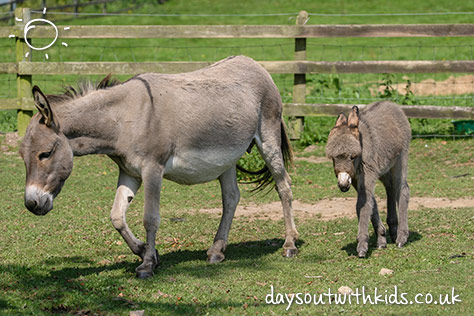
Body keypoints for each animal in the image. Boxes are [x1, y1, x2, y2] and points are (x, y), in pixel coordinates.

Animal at [326, 100, 412, 256]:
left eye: (352, 157)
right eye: (333, 158)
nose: (343, 185)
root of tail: (391, 103)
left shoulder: (366, 175)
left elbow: (363, 205)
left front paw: (362, 245)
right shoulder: (356, 179)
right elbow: (372, 204)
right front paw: (381, 238)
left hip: (400, 161)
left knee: (402, 189)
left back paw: (402, 237)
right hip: (385, 169)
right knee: (390, 189)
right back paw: (393, 229)